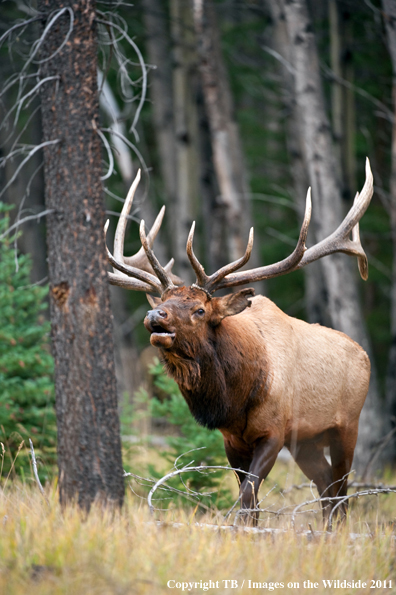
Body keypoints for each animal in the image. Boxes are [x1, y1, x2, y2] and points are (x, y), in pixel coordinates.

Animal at [105, 161, 374, 524]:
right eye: (163, 300)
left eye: (200, 309)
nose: (154, 315)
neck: (236, 397)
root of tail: (364, 355)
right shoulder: (232, 440)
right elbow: (251, 501)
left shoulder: (274, 431)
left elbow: (248, 496)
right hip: (307, 441)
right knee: (326, 488)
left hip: (347, 425)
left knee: (342, 491)